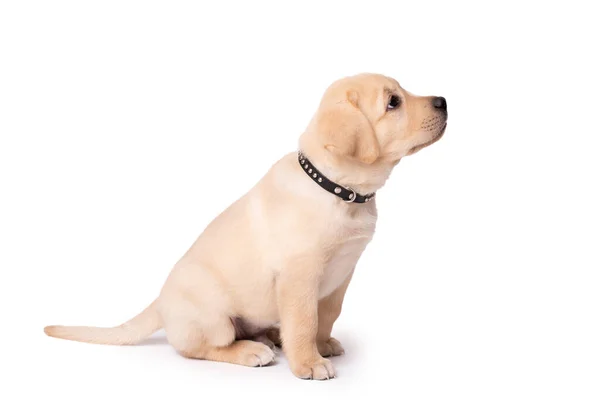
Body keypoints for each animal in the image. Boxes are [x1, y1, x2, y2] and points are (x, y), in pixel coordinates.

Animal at [44, 72, 448, 382]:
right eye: (393, 102)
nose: (443, 100)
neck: (337, 189)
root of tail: (159, 303)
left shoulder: (342, 274)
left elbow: (326, 316)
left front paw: (321, 345)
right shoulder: (300, 276)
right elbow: (304, 320)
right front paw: (308, 363)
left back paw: (270, 337)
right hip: (214, 314)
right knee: (198, 347)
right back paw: (252, 351)